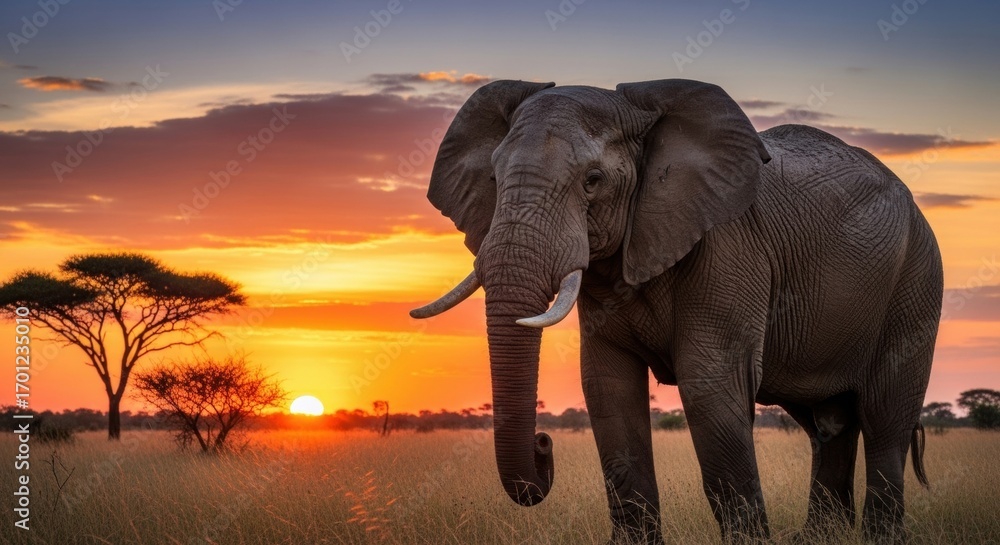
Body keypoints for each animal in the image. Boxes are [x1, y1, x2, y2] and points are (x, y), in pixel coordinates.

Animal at [410, 79, 943, 544]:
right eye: (494, 179)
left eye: (593, 181)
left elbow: (710, 385)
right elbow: (607, 388)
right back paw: (818, 537)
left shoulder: (729, 246)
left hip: (916, 281)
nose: (544, 444)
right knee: (829, 424)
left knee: (885, 420)